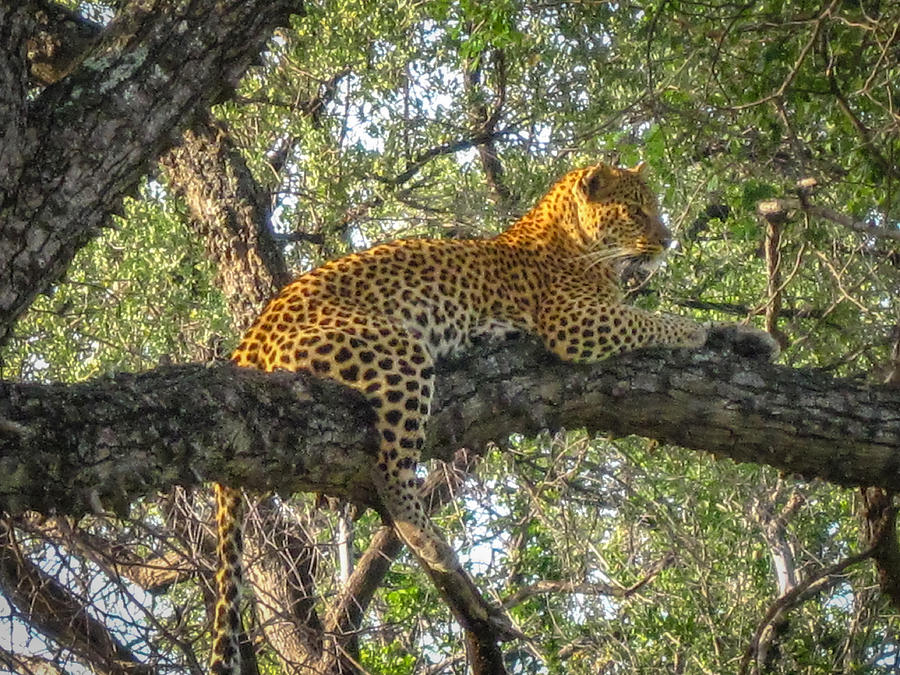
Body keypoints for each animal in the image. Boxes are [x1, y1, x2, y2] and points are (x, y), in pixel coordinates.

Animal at [209, 161, 772, 672]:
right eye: (637, 211)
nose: (668, 241)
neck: (572, 238)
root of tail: (249, 339)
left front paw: (747, 337)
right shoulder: (576, 322)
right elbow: (655, 320)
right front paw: (696, 332)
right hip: (399, 351)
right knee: (392, 470)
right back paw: (430, 542)